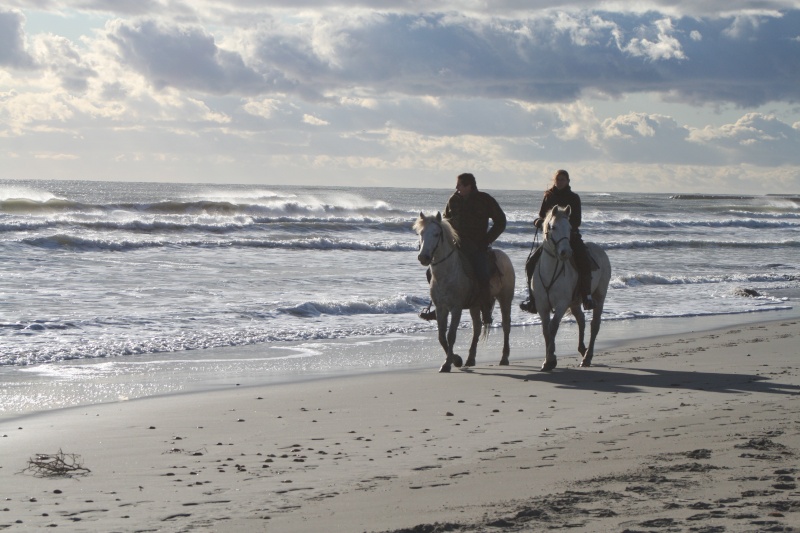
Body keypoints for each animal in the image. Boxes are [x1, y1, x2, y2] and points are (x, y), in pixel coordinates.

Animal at [416, 210, 516, 372]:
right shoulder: (441, 308)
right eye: (421, 233)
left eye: (436, 234)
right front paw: (455, 359)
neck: (448, 273)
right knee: (477, 328)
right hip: (475, 305)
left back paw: (504, 358)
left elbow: (451, 335)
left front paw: (448, 363)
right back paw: (470, 358)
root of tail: (504, 256)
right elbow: (441, 336)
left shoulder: (456, 308)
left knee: (506, 325)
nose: (423, 257)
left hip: (505, 298)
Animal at [536, 205, 612, 370]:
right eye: (553, 227)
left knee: (594, 325)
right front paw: (548, 360)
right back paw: (582, 350)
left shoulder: (561, 304)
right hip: (575, 302)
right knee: (581, 320)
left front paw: (550, 359)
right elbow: (545, 330)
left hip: (599, 295)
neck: (550, 271)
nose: (566, 252)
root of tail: (600, 249)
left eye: (570, 228)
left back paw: (587, 357)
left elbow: (552, 327)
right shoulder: (542, 305)